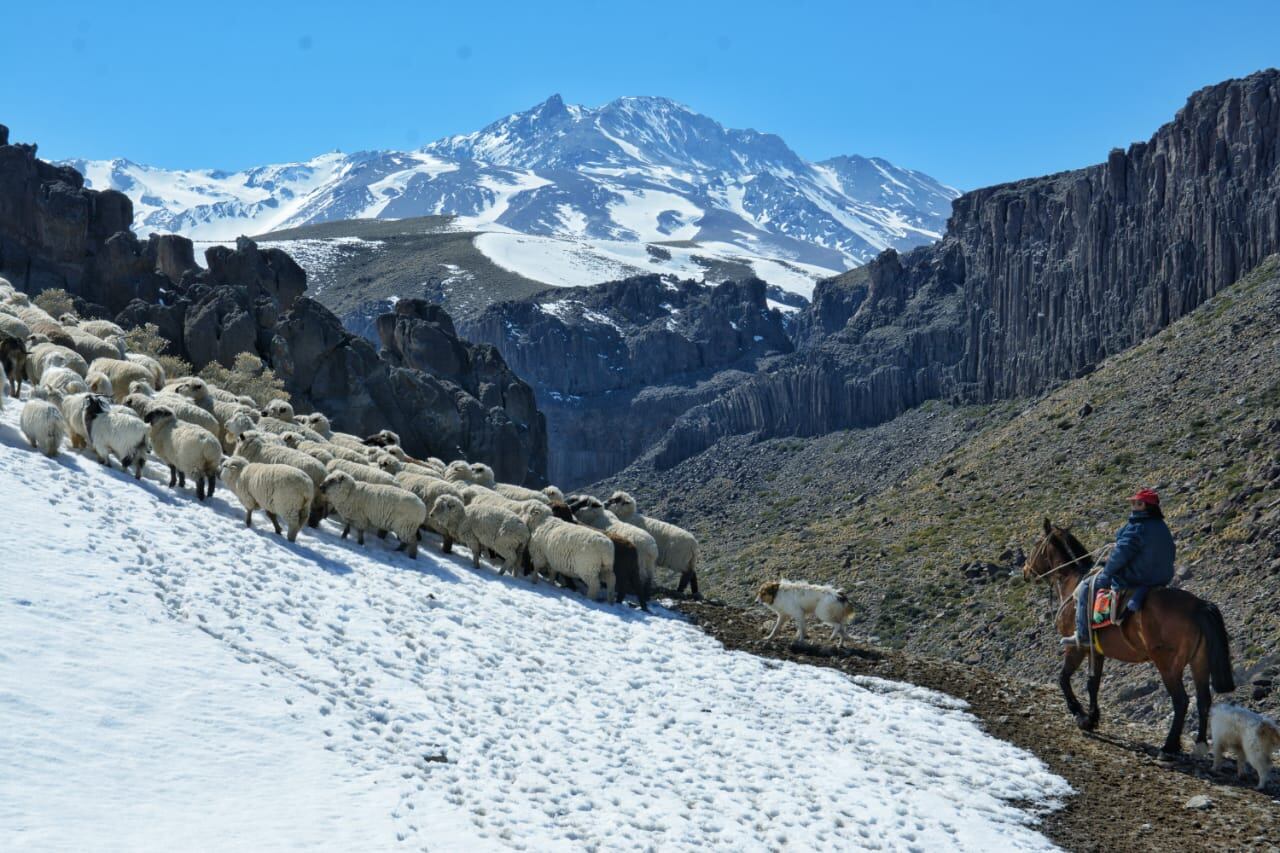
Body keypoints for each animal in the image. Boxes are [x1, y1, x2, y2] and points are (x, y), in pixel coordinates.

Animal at [1018, 517, 1228, 753]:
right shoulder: (1096, 651)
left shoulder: (1077, 647)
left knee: (1181, 701)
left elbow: (1063, 678)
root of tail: (1198, 606)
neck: (1072, 582)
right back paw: (1199, 745)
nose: (1025, 570)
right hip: (1199, 661)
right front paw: (1091, 718)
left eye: (1036, 544)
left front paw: (1079, 714)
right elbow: (1093, 684)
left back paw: (1168, 746)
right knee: (1203, 700)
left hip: (1168, 665)